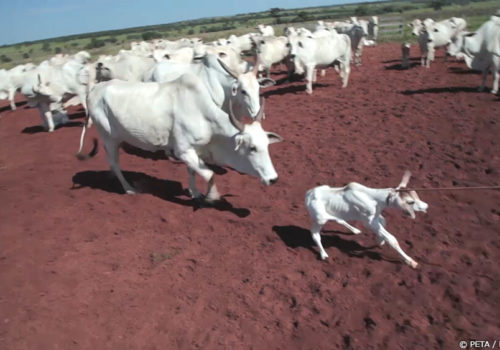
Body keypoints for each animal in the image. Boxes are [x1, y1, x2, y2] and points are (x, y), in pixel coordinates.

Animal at [77, 73, 282, 202]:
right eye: (252, 148)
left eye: (267, 145)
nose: (273, 179)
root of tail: (94, 90)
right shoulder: (183, 151)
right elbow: (209, 174)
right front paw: (212, 196)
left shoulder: (194, 150)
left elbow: (192, 170)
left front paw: (195, 192)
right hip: (108, 137)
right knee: (114, 163)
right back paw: (129, 188)